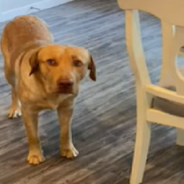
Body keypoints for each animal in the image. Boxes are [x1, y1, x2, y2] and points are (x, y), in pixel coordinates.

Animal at [0, 15, 96, 165]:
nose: (65, 83)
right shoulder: (29, 112)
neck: (48, 92)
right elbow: (33, 136)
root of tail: (22, 16)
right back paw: (15, 108)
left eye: (78, 63)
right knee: (13, 89)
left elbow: (66, 132)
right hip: (9, 71)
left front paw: (67, 149)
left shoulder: (67, 108)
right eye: (51, 62)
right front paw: (35, 154)